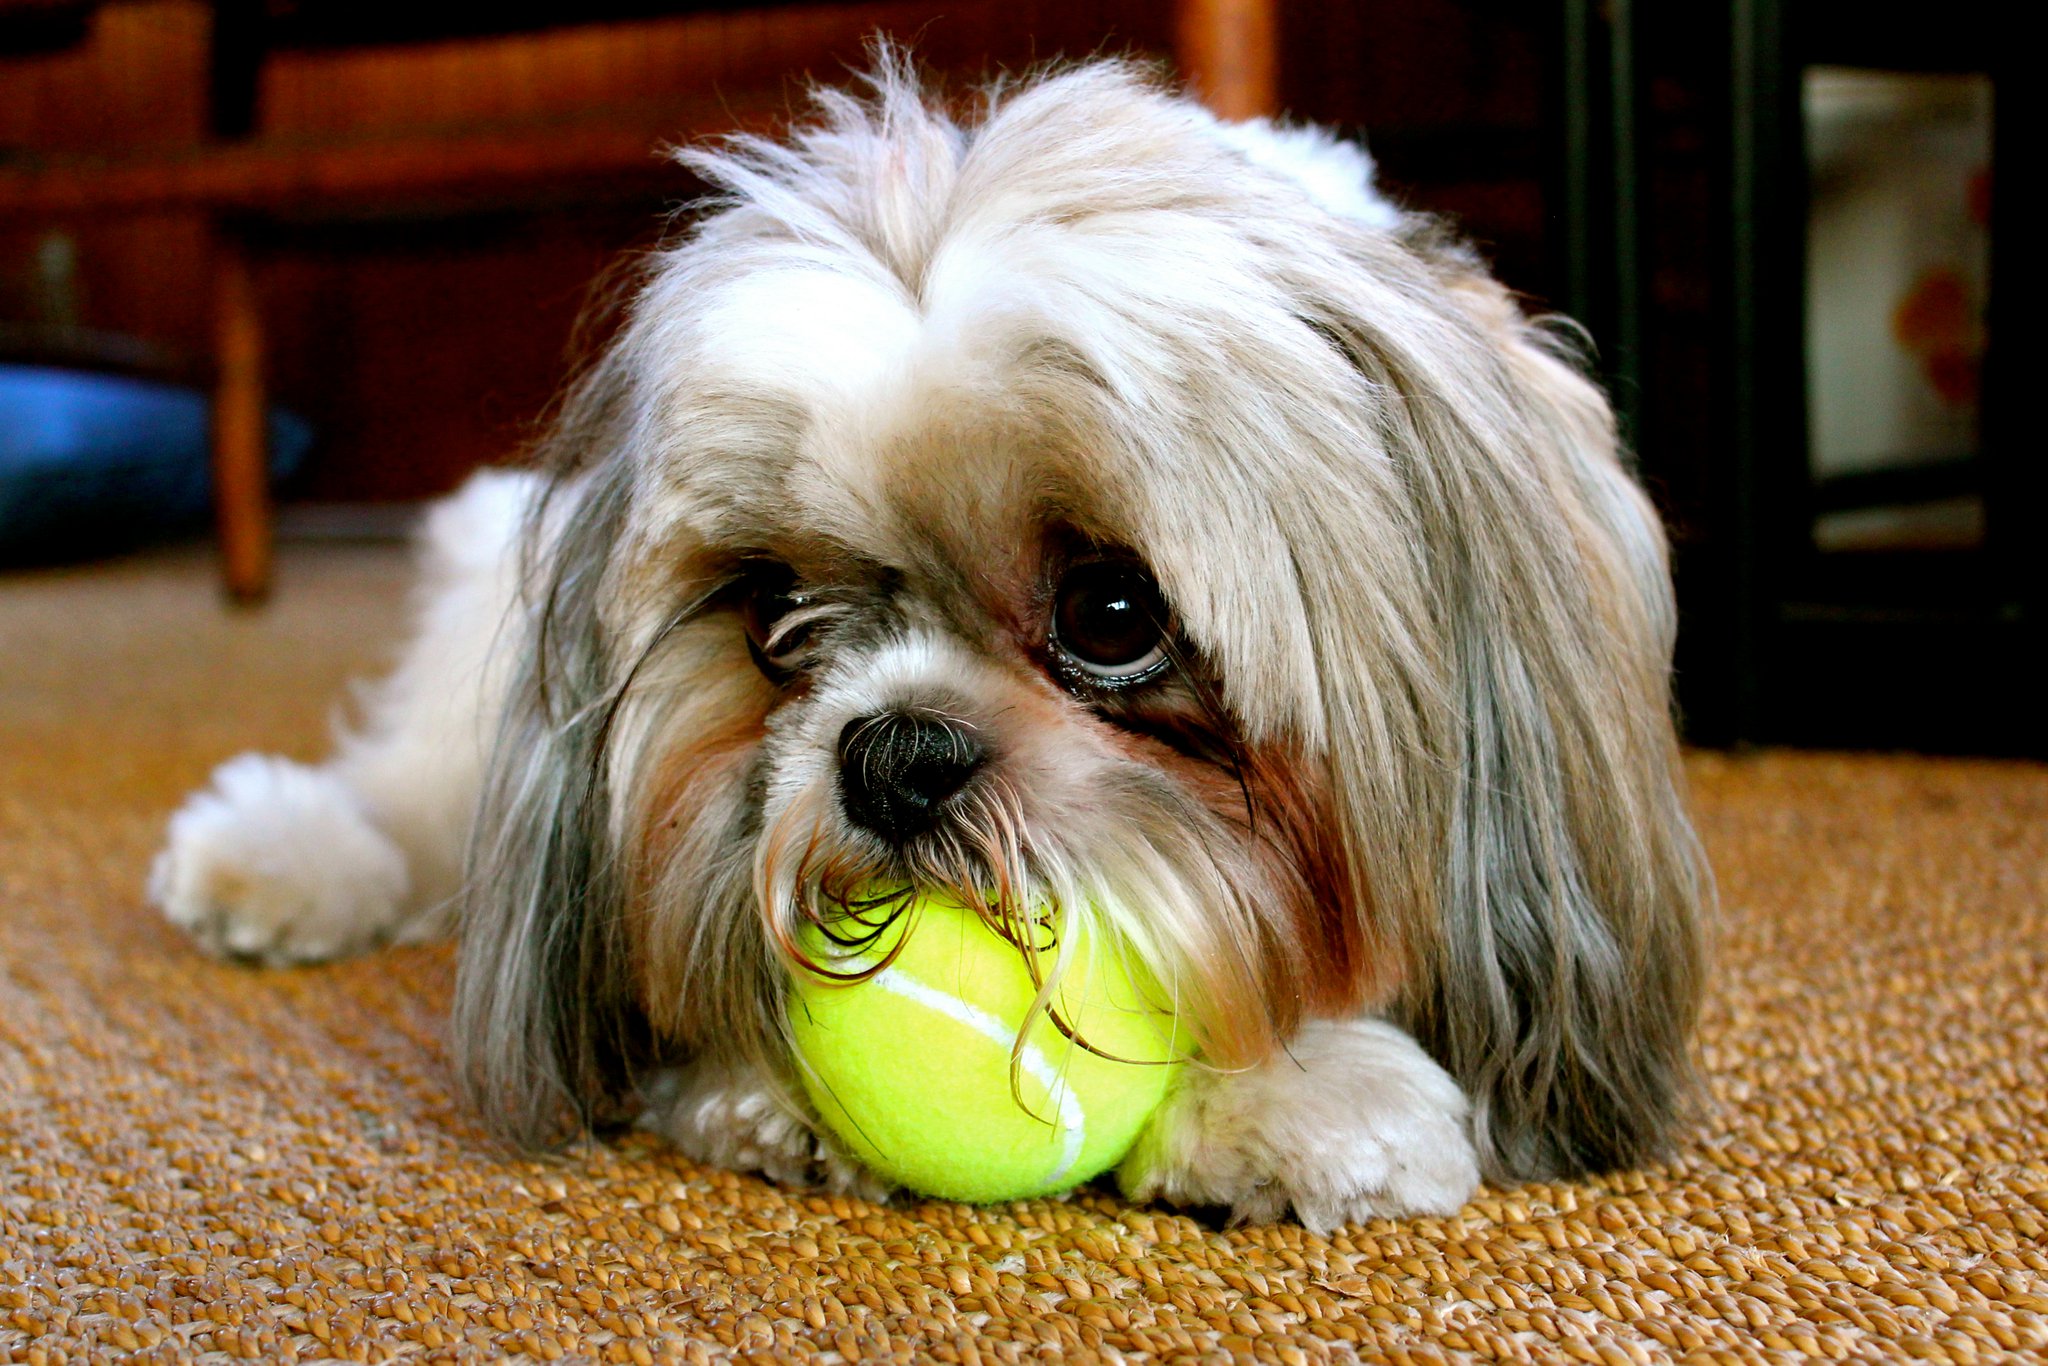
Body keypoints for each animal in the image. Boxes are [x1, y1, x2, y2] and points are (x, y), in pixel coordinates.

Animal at [151, 53, 1703, 1236]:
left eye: (1113, 614)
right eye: (775, 615)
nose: (891, 753)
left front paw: (1287, 1095)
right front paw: (764, 1093)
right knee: (413, 783)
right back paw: (283, 857)